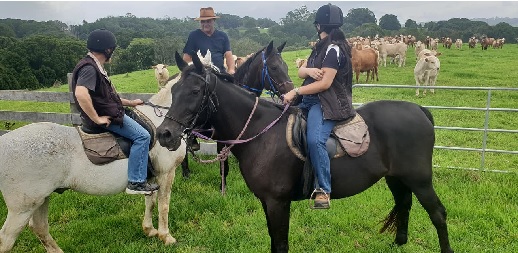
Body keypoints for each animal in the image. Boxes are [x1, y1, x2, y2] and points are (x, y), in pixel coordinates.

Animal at [158, 52, 456, 252]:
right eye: (174, 89)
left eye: (195, 90)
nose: (165, 134)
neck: (261, 131)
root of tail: (420, 110)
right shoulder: (268, 202)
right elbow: (273, 239)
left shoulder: (278, 202)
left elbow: (280, 242)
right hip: (396, 177)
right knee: (404, 203)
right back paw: (399, 242)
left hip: (420, 180)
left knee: (438, 214)